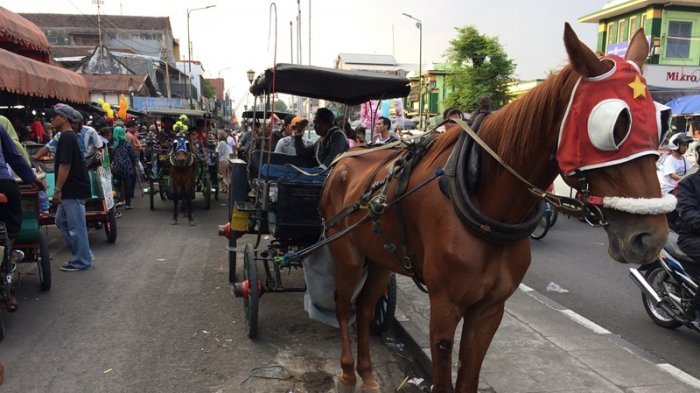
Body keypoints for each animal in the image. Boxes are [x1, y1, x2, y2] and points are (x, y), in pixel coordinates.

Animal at [320, 25, 668, 392]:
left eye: (661, 123)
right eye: (616, 125)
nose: (650, 237)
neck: (484, 206)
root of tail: (342, 162)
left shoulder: (489, 310)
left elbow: (469, 375)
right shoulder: (444, 306)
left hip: (380, 259)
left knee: (365, 309)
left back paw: (368, 373)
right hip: (346, 253)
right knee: (343, 305)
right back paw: (347, 371)